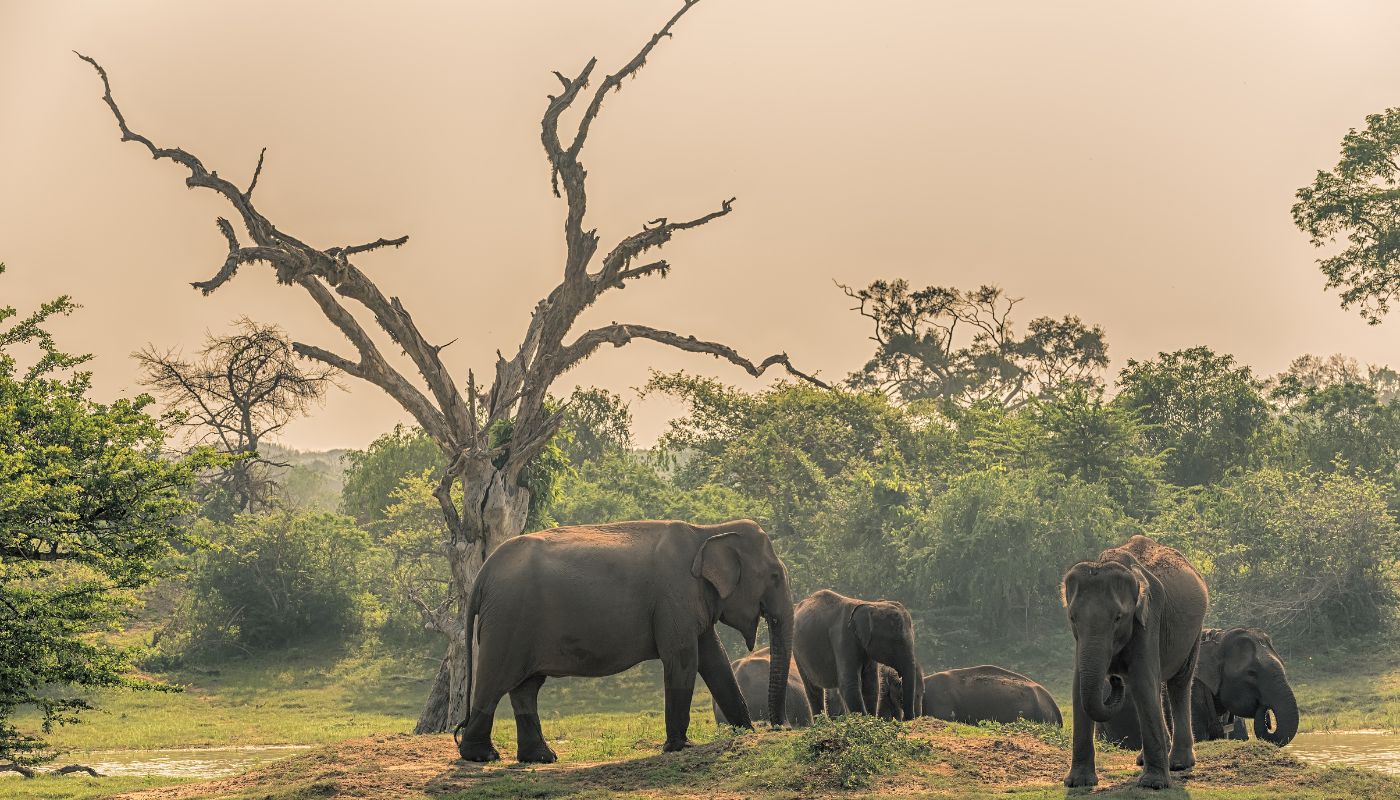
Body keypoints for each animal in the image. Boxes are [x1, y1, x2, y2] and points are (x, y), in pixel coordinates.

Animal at [453, 518, 795, 762]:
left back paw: (541, 758)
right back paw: (482, 756)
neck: (708, 531)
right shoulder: (674, 597)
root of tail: (483, 574)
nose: (782, 727)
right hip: (508, 620)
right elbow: (683, 657)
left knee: (526, 687)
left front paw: (745, 733)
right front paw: (680, 747)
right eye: (775, 577)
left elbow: (715, 659)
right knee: (496, 680)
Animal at [795, 588, 924, 728]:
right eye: (896, 642)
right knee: (813, 688)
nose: (908, 719)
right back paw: (822, 724)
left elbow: (871, 684)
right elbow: (849, 683)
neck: (870, 605)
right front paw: (862, 721)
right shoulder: (844, 638)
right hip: (797, 651)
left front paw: (870, 720)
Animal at [1058, 535, 1204, 790]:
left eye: (1118, 618)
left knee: (1178, 683)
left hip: (1193, 631)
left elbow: (1143, 681)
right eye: (1073, 618)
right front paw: (1077, 783)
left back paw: (1178, 764)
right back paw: (1147, 760)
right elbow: (1078, 688)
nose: (1114, 678)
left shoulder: (1149, 619)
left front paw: (1153, 784)